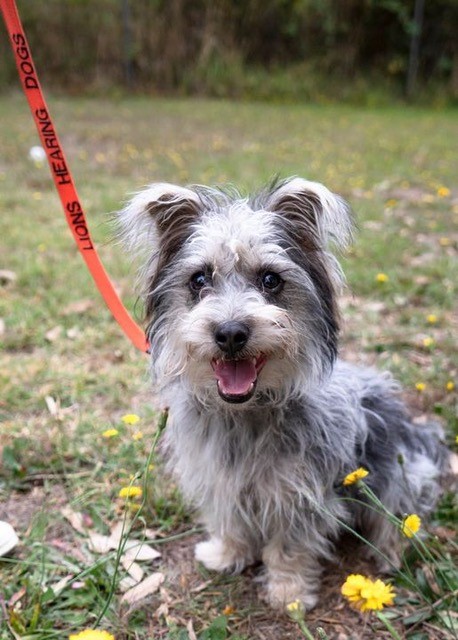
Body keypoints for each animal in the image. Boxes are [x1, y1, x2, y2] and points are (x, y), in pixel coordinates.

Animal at [116, 178, 450, 608]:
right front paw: (227, 553)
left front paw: (289, 593)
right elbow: (230, 521)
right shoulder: (221, 479)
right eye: (199, 280)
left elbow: (290, 545)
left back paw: (391, 553)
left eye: (271, 279)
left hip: (401, 474)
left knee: (401, 519)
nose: (230, 332)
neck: (246, 412)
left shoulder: (299, 494)